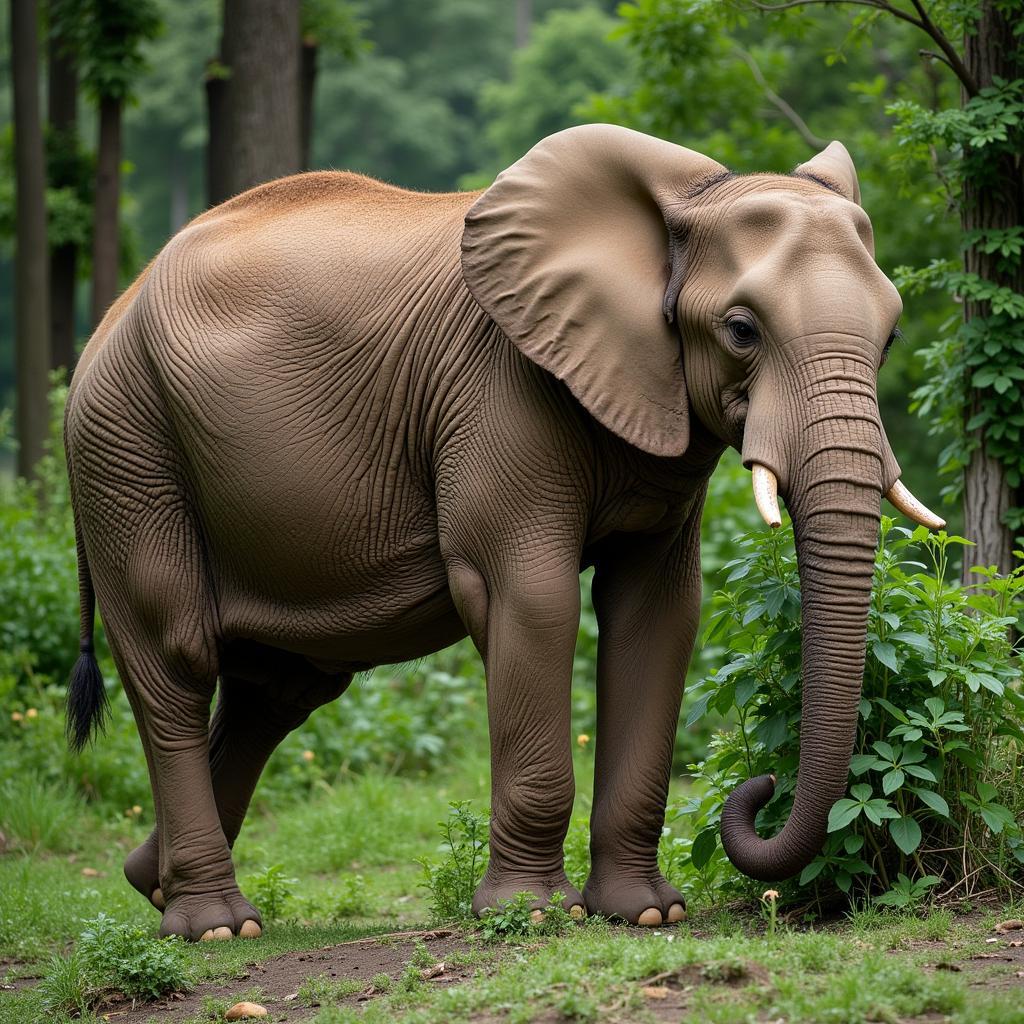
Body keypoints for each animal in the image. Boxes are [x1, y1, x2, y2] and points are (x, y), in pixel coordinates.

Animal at [64, 123, 942, 937]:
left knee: (278, 687)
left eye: (892, 336)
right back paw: (215, 923)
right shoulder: (499, 390)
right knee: (178, 655)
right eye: (741, 330)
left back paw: (151, 881)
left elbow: (657, 615)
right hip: (126, 447)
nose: (758, 792)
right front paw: (537, 916)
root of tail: (109, 316)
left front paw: (646, 914)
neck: (685, 201)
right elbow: (536, 600)